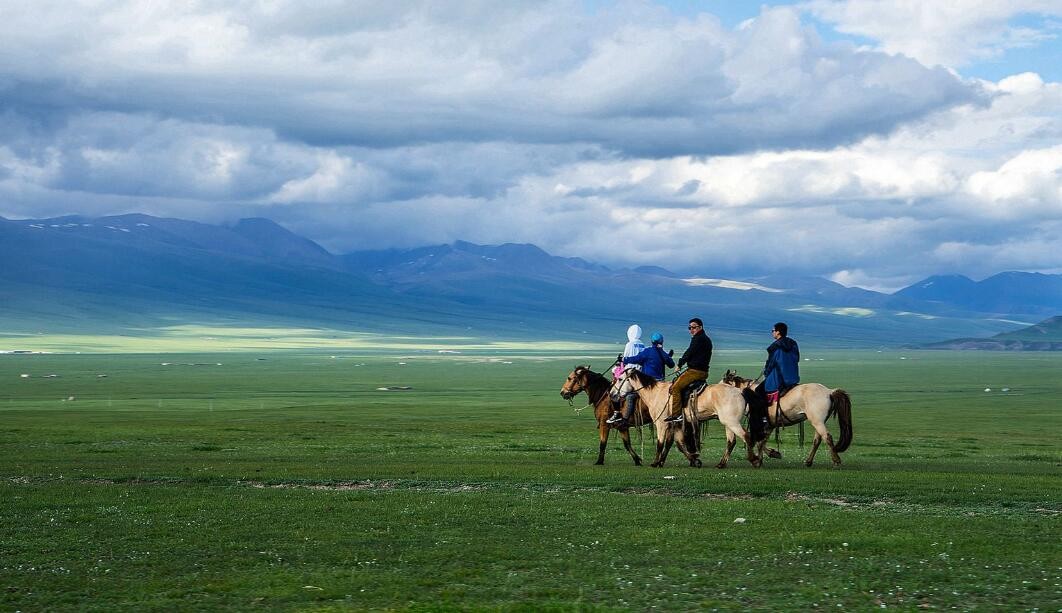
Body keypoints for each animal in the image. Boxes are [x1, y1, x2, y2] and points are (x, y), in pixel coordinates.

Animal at [611, 367, 760, 467]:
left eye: (620, 379)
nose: (612, 394)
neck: (655, 393)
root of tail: (740, 392)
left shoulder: (661, 424)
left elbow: (660, 443)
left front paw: (655, 462)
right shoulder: (675, 424)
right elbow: (678, 444)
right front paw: (694, 460)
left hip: (731, 422)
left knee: (746, 436)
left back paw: (754, 460)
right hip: (728, 423)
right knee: (731, 441)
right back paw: (721, 464)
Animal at [722, 369, 853, 465]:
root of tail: (829, 392)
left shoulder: (762, 423)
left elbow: (758, 441)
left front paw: (768, 456)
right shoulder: (770, 424)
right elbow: (762, 441)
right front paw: (766, 457)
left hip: (818, 422)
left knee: (828, 437)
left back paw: (836, 460)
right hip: (819, 421)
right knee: (818, 440)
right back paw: (808, 461)